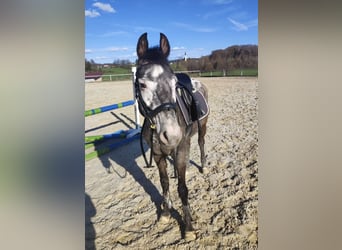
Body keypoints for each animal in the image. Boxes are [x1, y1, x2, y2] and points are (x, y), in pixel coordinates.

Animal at [135, 33, 210, 240]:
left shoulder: (182, 147)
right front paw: (166, 213)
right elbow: (164, 183)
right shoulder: (158, 154)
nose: (172, 134)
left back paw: (203, 166)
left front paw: (189, 227)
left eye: (174, 83)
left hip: (202, 127)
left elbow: (182, 188)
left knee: (201, 142)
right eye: (142, 84)